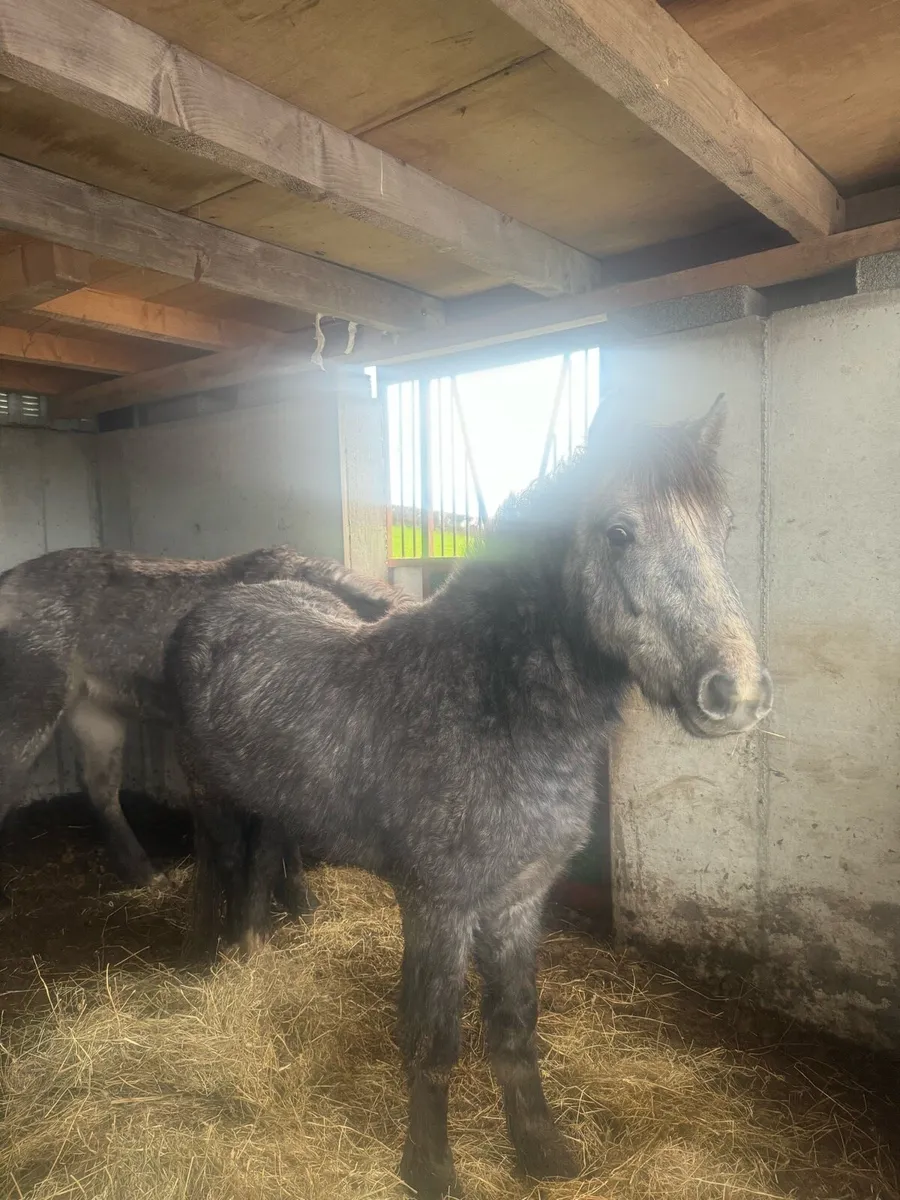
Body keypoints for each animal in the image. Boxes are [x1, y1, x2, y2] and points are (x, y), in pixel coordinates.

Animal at [167, 398, 772, 1199]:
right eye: (619, 531)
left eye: (724, 529)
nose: (736, 693)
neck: (487, 698)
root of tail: (220, 603)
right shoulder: (439, 906)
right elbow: (435, 1041)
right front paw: (429, 1168)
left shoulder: (517, 900)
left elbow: (515, 1031)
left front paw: (542, 1151)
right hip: (207, 793)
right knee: (215, 864)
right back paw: (206, 954)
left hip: (274, 802)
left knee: (263, 864)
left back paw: (254, 952)